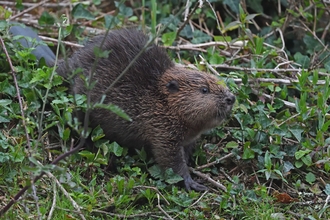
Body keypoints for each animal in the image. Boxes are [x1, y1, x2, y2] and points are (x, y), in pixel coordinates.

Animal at [9, 26, 235, 191]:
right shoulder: (161, 130)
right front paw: (193, 183)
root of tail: (63, 66)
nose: (231, 98)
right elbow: (169, 160)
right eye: (204, 89)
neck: (158, 99)